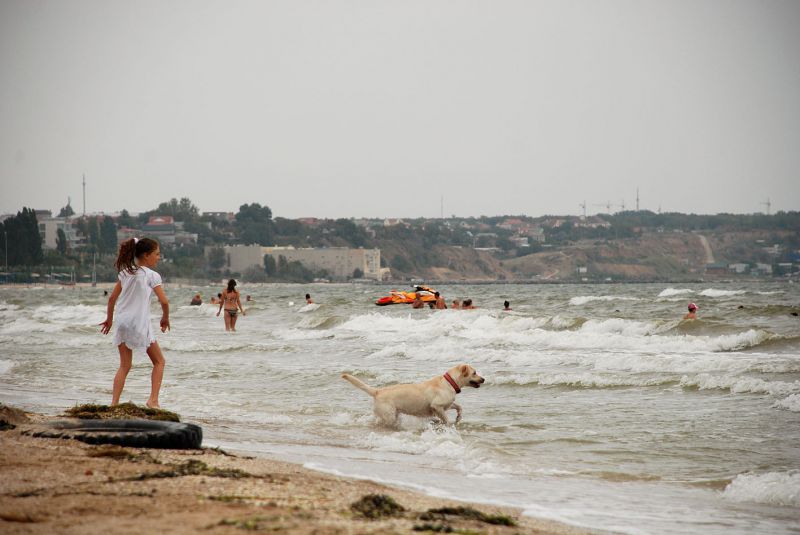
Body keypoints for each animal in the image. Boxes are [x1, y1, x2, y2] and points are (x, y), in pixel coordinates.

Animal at [340, 364, 484, 428]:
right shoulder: (437, 406)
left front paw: (459, 418)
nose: (483, 379)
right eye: (474, 373)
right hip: (389, 416)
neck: (450, 382)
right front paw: (447, 425)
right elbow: (446, 419)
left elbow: (459, 407)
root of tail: (377, 391)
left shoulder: (447, 405)